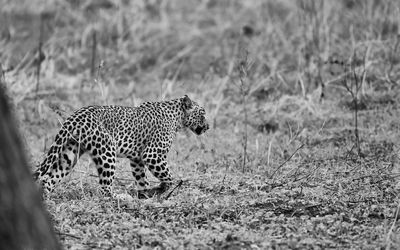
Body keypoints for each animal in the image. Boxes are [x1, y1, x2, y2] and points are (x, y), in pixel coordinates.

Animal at [33, 94, 209, 196]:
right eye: (203, 113)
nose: (208, 126)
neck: (177, 118)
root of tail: (75, 117)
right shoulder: (153, 155)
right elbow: (168, 176)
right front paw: (168, 189)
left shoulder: (137, 158)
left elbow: (141, 178)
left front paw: (146, 194)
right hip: (107, 152)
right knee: (104, 188)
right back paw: (118, 199)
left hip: (69, 153)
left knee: (49, 179)